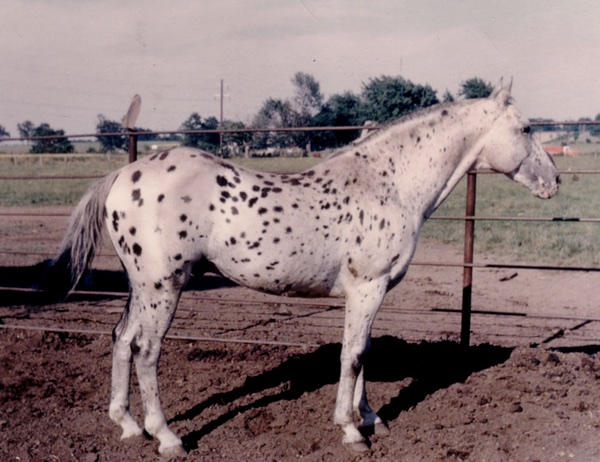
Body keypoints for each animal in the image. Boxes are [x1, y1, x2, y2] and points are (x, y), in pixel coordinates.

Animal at [48, 81, 564, 456]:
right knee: (146, 351)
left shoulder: (369, 292)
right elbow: (352, 356)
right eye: (526, 129)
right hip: (163, 287)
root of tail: (122, 176)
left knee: (121, 339)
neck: (388, 182)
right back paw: (168, 437)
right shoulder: (368, 287)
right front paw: (352, 431)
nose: (555, 182)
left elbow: (363, 353)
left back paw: (128, 426)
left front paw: (371, 418)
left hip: (142, 286)